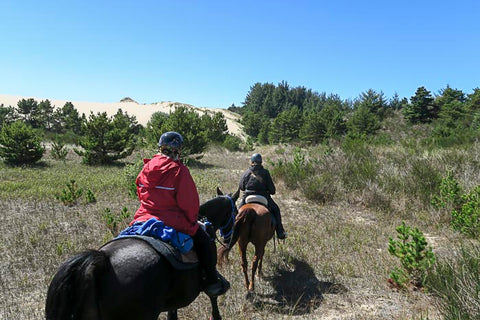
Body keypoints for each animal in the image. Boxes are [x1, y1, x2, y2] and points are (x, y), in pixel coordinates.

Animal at [44, 188, 238, 320]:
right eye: (235, 211)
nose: (229, 238)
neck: (205, 222)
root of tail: (99, 262)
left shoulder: (172, 301)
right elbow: (213, 297)